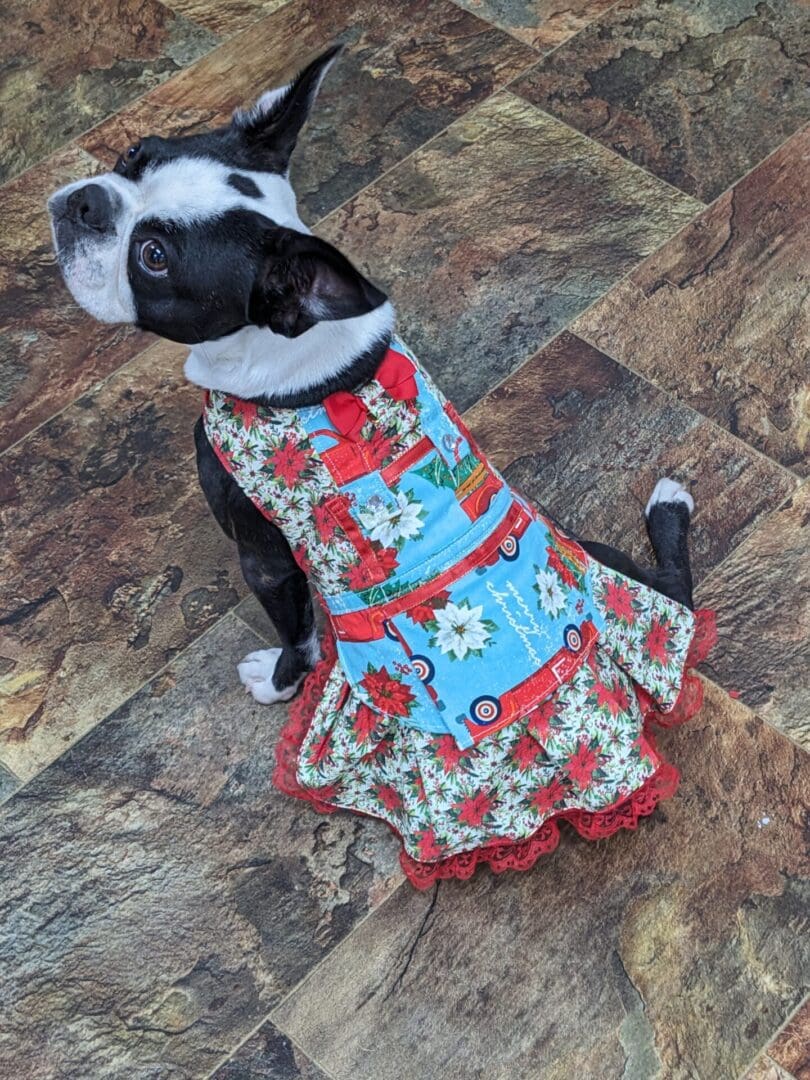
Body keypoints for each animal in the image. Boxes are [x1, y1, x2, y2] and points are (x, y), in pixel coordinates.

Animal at [47, 44, 699, 717]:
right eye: (133, 153)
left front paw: (278, 683)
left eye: (153, 257)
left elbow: (300, 636)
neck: (295, 359)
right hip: (584, 547)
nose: (87, 203)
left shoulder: (264, 557)